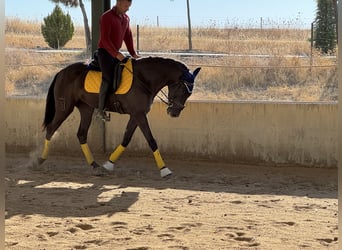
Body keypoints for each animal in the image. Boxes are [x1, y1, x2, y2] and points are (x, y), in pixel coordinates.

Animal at [38, 56, 200, 178]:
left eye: (190, 93)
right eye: (182, 89)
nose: (175, 112)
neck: (143, 79)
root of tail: (61, 72)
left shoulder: (136, 115)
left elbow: (126, 139)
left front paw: (109, 164)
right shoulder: (139, 114)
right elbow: (151, 140)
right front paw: (164, 169)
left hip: (86, 109)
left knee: (81, 134)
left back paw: (95, 165)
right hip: (64, 108)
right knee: (51, 129)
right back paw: (40, 160)